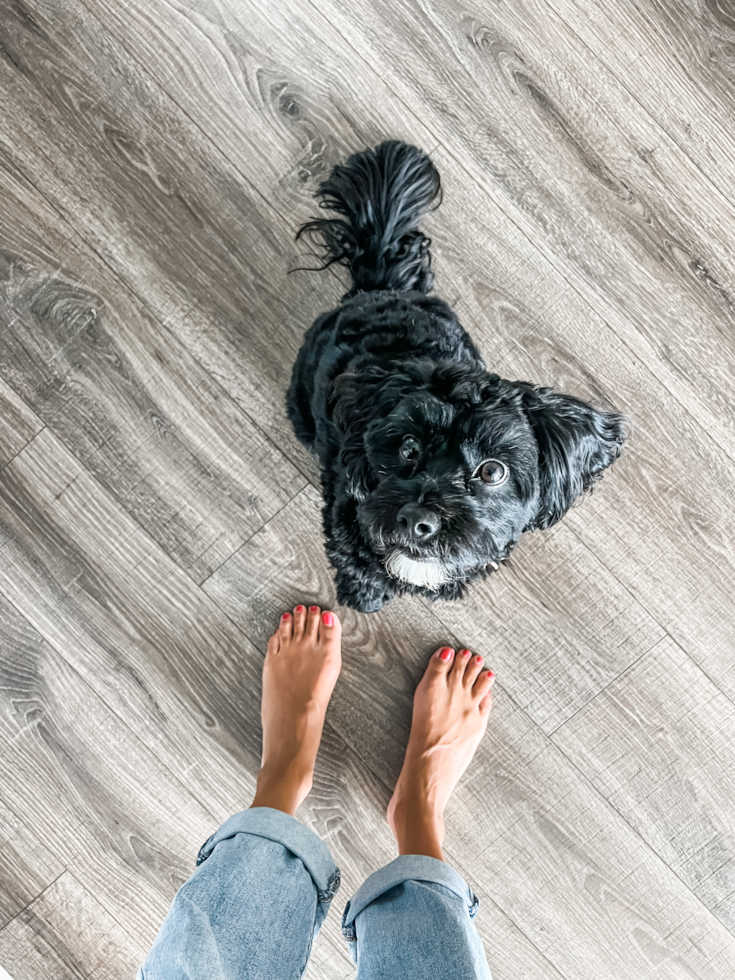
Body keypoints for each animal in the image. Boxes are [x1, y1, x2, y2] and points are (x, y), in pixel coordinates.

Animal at [288, 142, 628, 612]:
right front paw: (363, 595)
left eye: (492, 471)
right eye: (408, 447)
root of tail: (384, 288)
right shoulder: (347, 522)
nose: (418, 519)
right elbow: (358, 564)